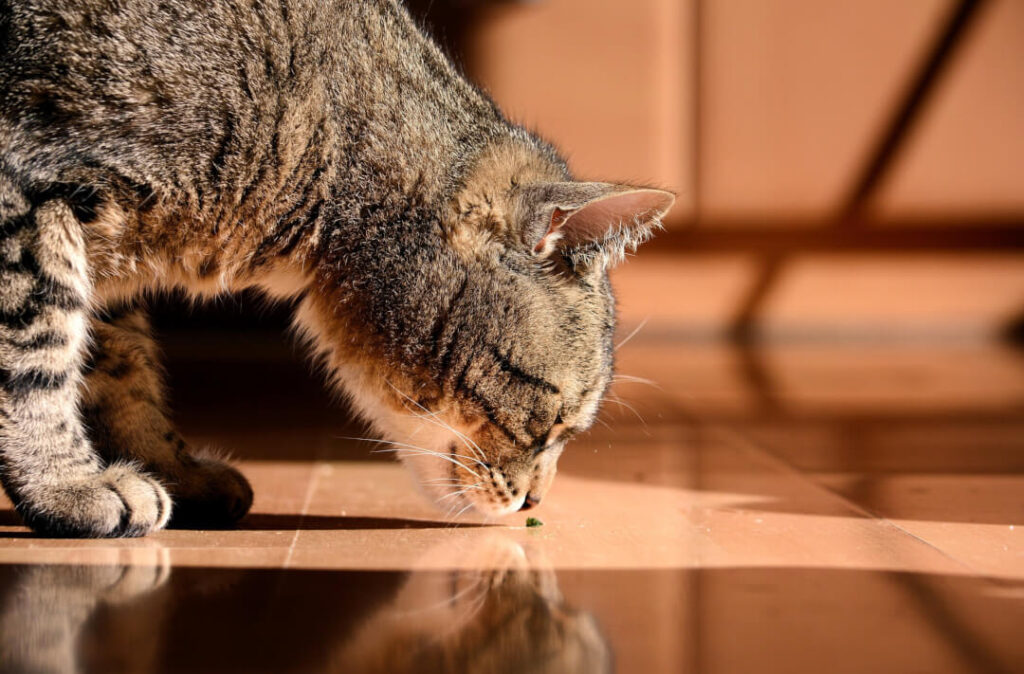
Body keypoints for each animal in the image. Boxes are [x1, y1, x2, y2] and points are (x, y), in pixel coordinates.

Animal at [0, 0, 671, 536]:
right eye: (555, 421)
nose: (537, 500)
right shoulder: (28, 197)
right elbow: (36, 357)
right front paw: (65, 485)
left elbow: (123, 369)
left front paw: (166, 467)